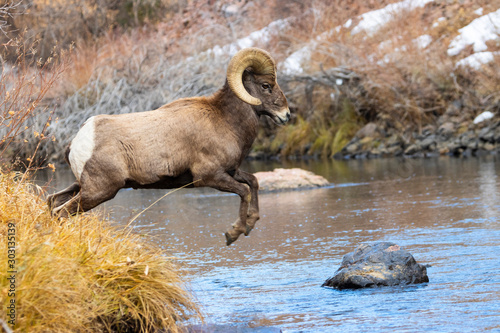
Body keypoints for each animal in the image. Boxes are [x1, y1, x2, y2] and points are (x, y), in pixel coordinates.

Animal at [47, 47, 290, 244]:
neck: (224, 121)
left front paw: (250, 224)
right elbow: (244, 191)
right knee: (61, 212)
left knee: (52, 201)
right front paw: (233, 234)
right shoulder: (210, 176)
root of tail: (78, 141)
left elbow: (254, 181)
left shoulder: (232, 171)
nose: (286, 115)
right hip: (99, 191)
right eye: (266, 85)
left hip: (83, 187)